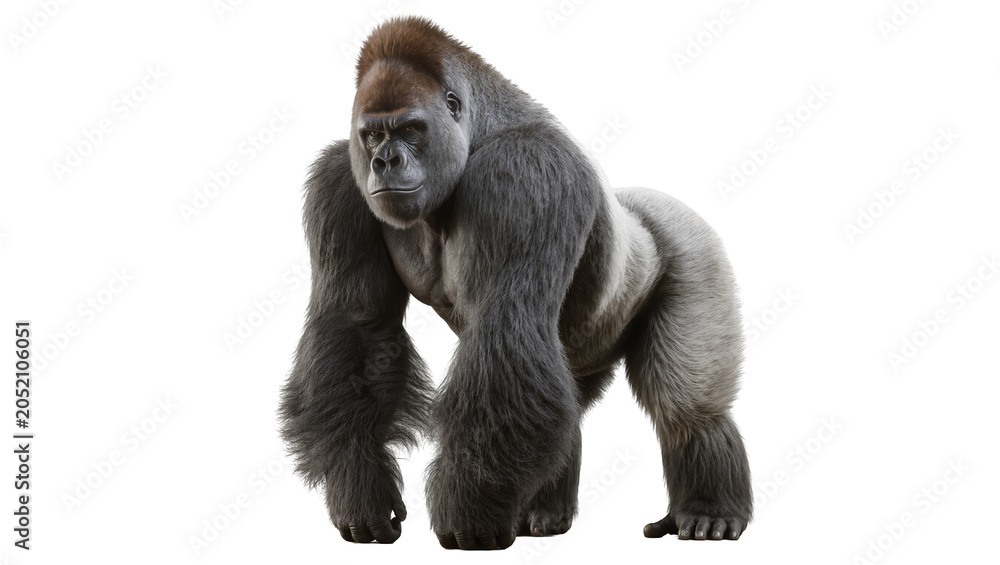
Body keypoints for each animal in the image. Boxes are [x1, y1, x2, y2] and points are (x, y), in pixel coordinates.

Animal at [279, 16, 752, 550]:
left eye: (411, 129)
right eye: (373, 135)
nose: (384, 162)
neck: (476, 132)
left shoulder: (523, 169)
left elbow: (506, 328)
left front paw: (467, 514)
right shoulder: (340, 180)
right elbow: (357, 327)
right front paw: (359, 486)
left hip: (692, 241)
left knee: (687, 409)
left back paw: (708, 509)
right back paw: (542, 511)